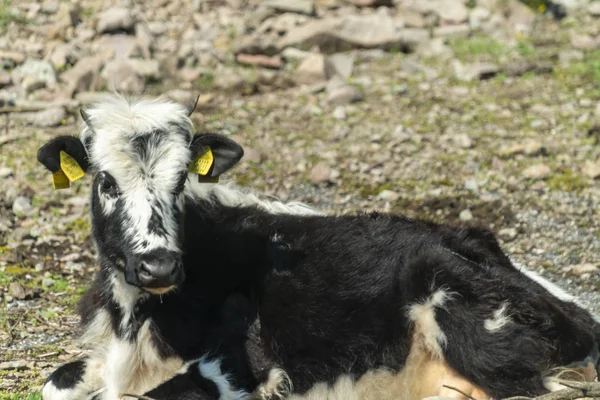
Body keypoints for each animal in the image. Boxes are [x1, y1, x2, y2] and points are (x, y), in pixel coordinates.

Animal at [38, 94, 600, 400]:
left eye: (180, 182)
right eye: (106, 181)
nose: (158, 265)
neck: (136, 320)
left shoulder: (241, 368)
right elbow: (54, 382)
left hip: (458, 303)